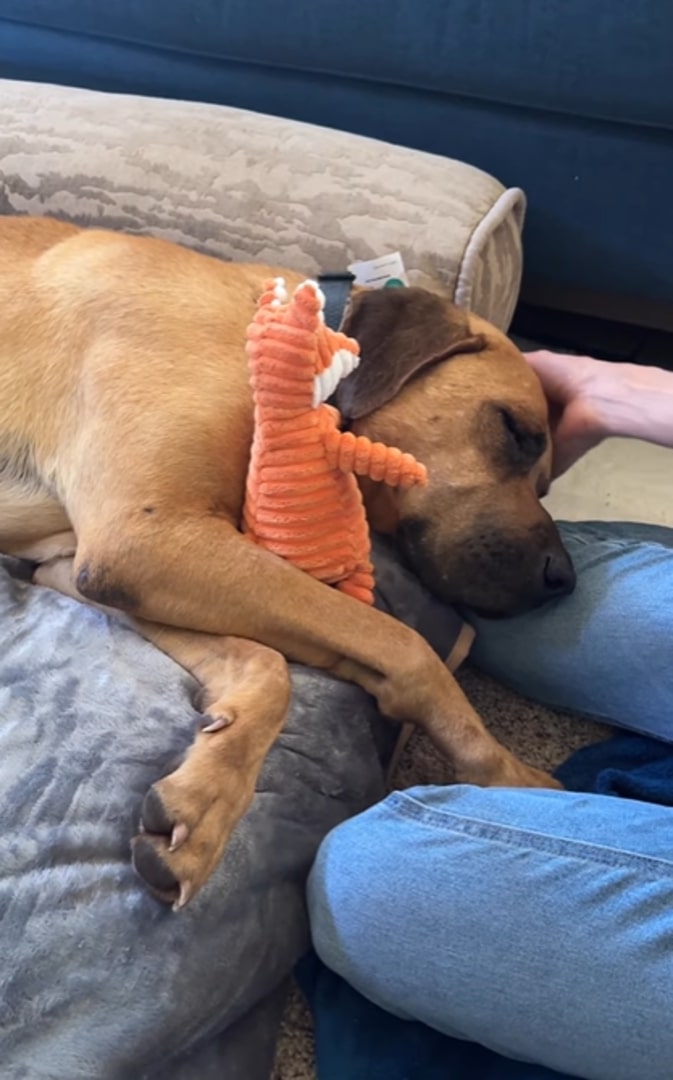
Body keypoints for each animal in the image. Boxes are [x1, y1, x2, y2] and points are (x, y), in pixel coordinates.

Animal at [1, 214, 574, 907]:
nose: (564, 579)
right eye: (516, 431)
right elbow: (407, 645)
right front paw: (502, 770)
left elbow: (273, 664)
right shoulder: (145, 538)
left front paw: (210, 795)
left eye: (547, 483)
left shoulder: (88, 565)